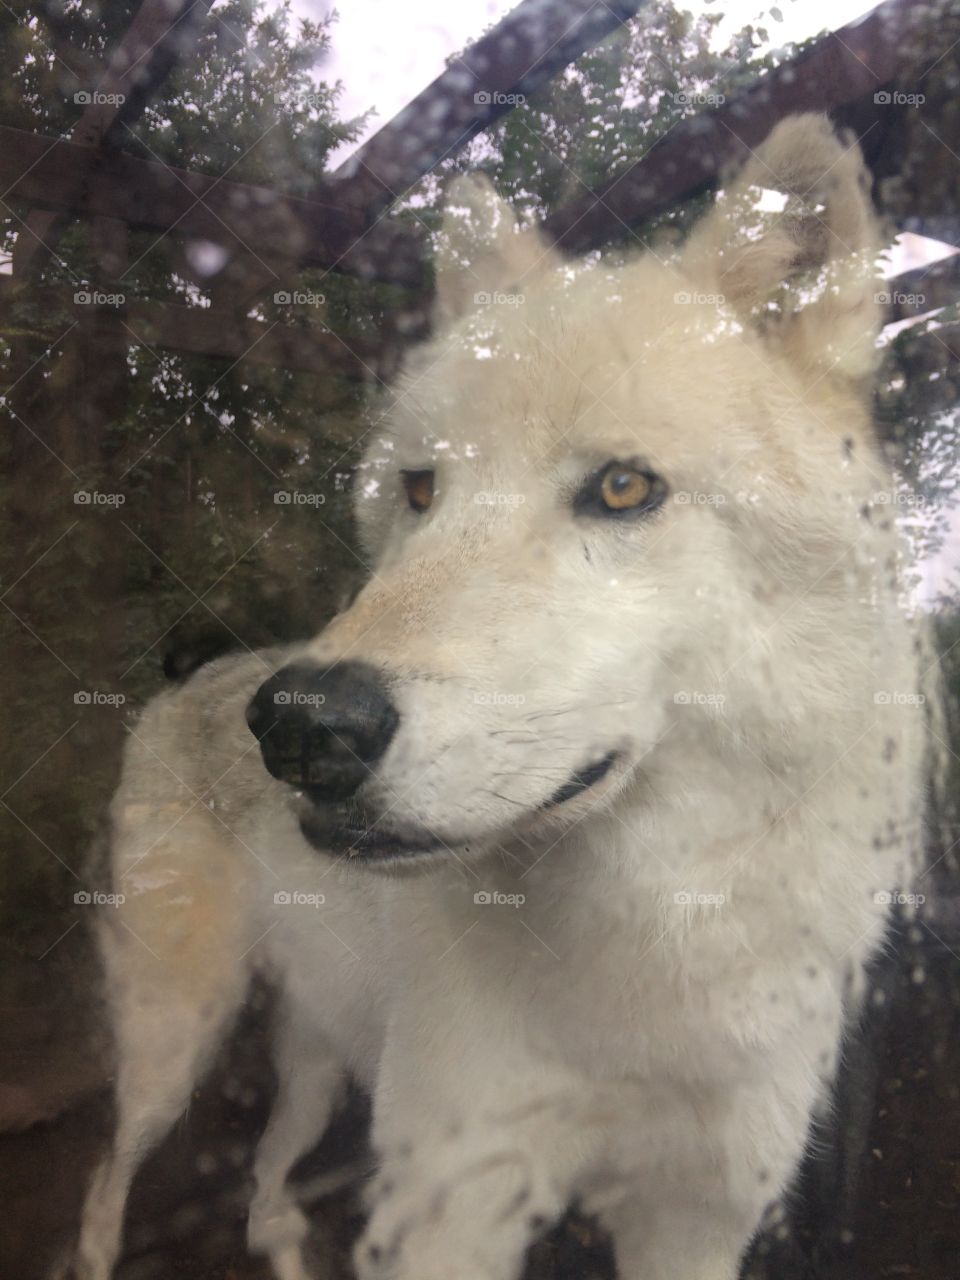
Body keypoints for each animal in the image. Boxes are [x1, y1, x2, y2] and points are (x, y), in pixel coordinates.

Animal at [71, 117, 926, 1280]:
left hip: (320, 1065)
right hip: (178, 1037)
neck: (656, 931)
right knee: (109, 1177)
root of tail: (198, 673)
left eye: (623, 487)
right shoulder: (448, 1206)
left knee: (264, 1195)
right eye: (422, 489)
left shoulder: (701, 1216)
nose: (300, 727)